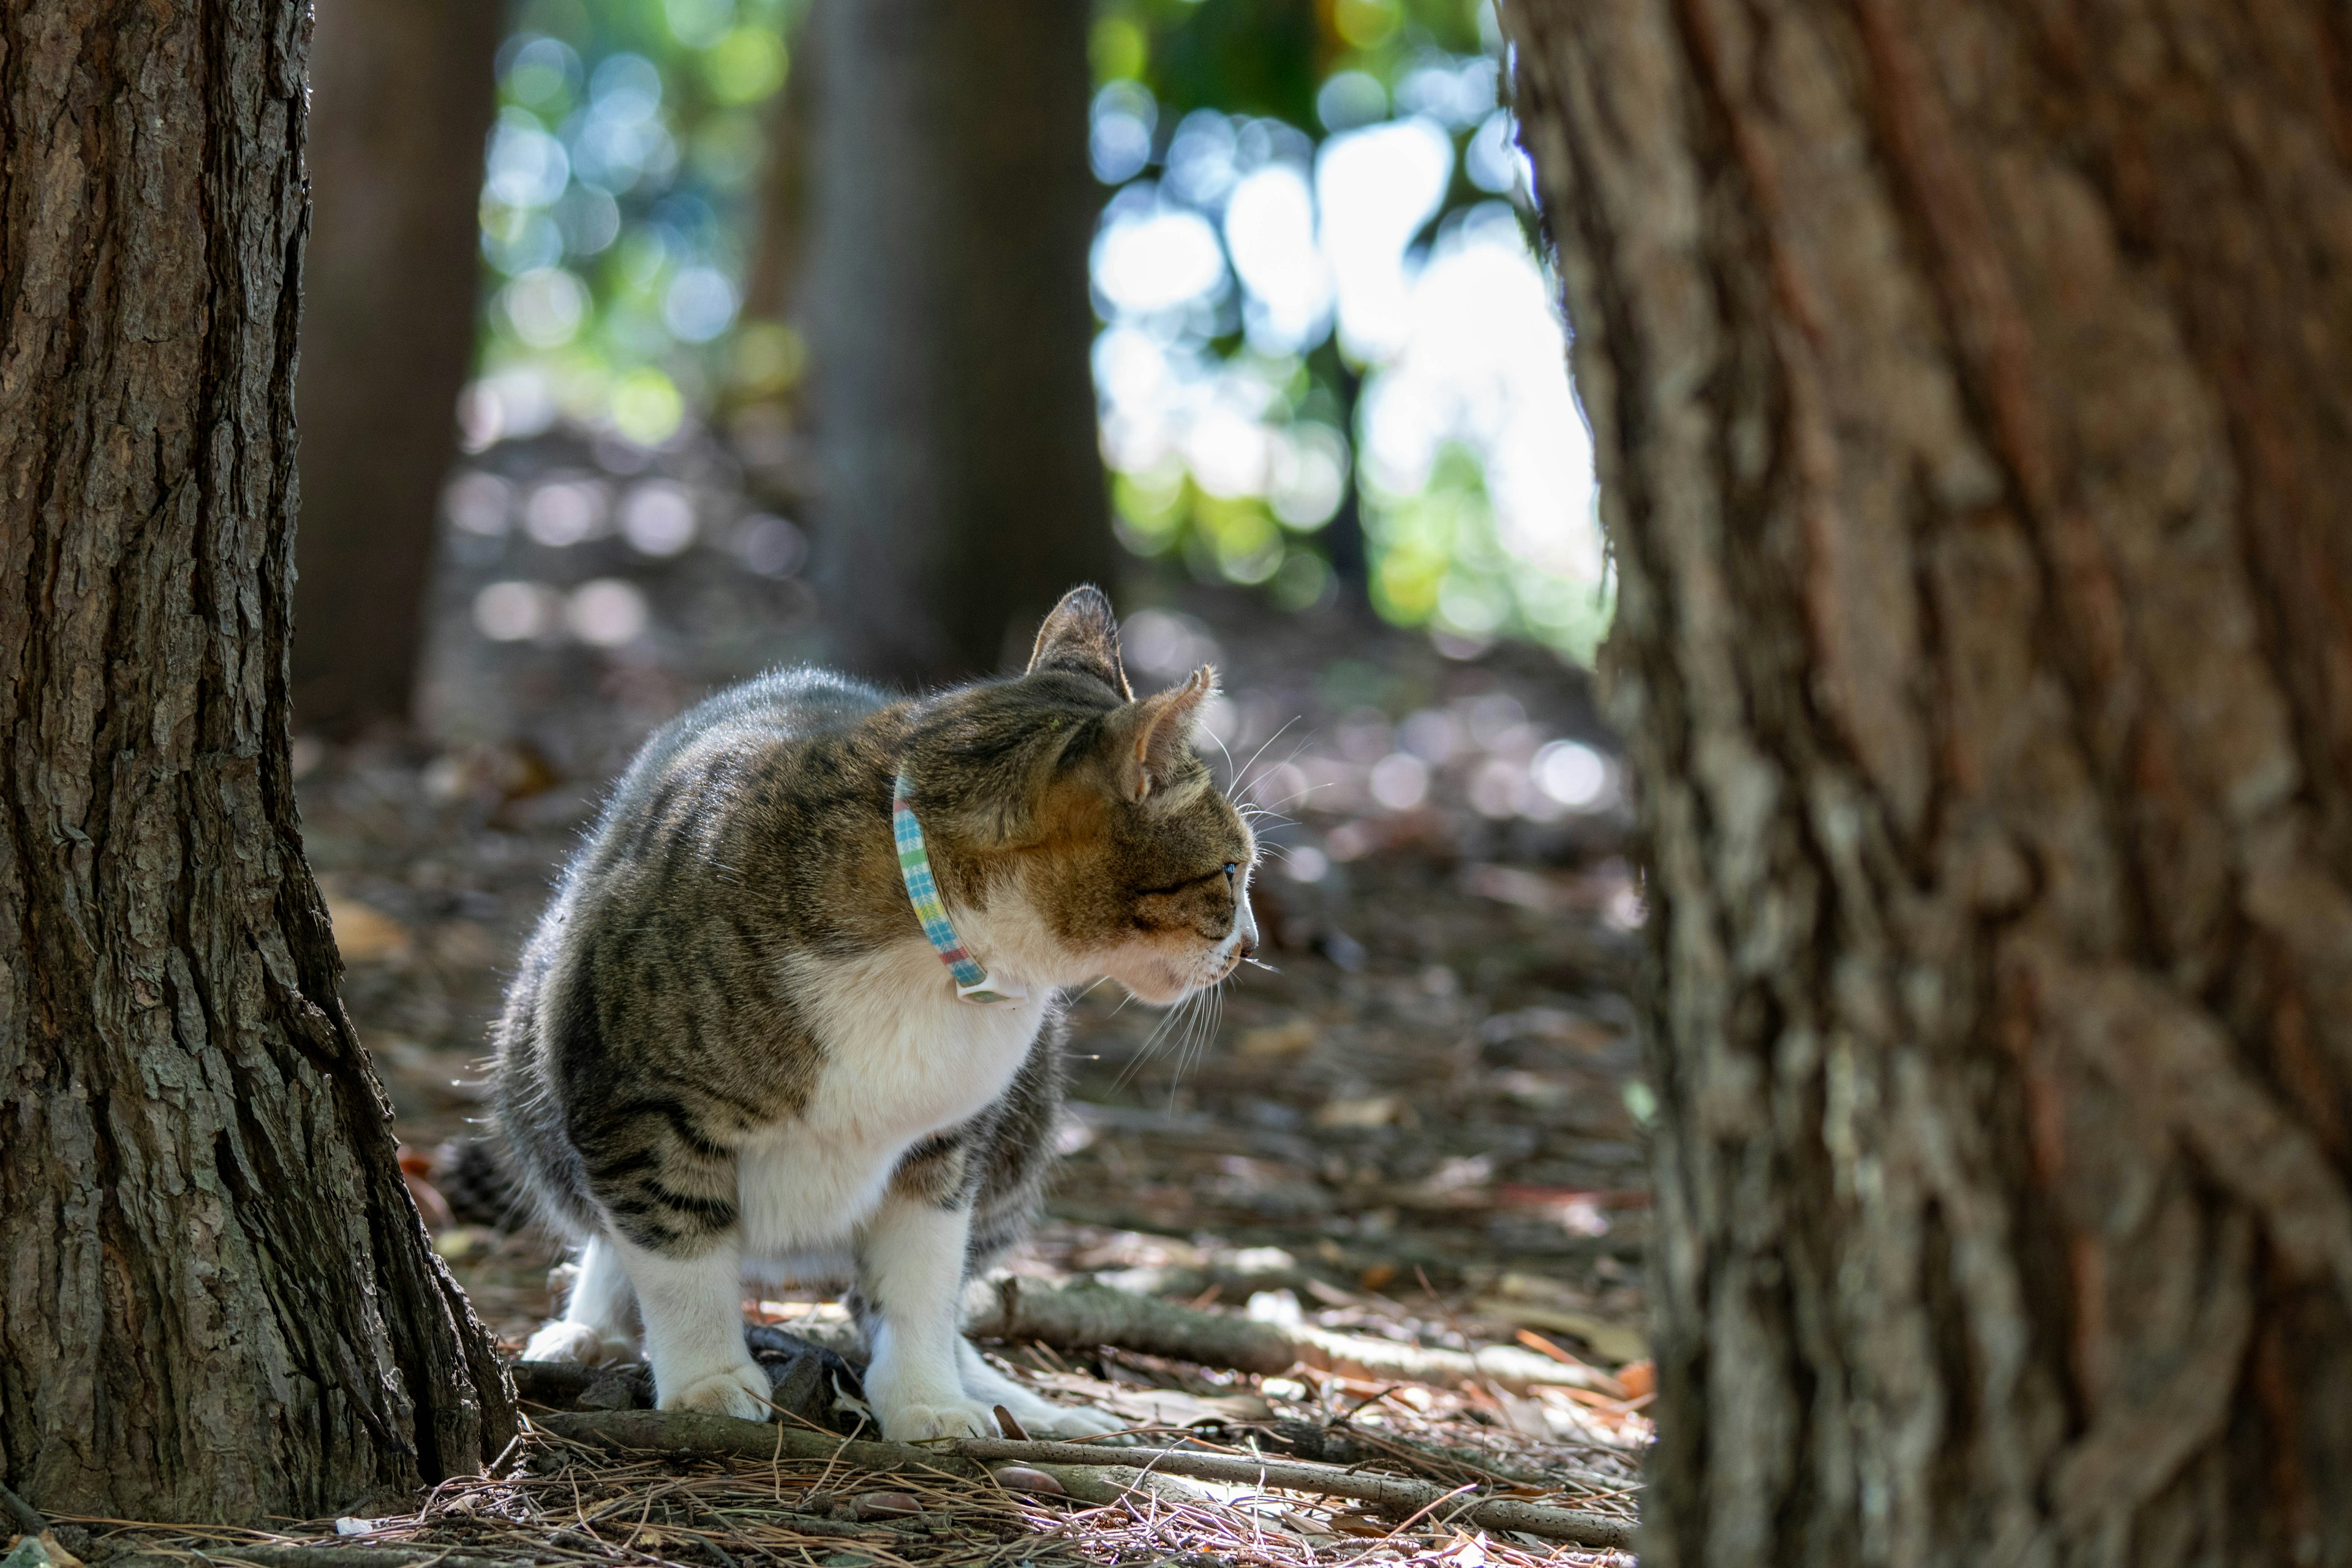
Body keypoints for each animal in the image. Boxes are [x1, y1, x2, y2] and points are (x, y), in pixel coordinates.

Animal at [489, 582, 1261, 1438]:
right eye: (1231, 869)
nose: (1251, 945)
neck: (939, 951)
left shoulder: (945, 1142)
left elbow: (920, 1280)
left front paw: (928, 1400)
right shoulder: (636, 1107)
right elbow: (677, 1251)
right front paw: (709, 1384)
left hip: (1027, 1113)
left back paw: (1016, 1402)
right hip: (533, 1050)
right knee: (603, 1222)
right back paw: (589, 1327)